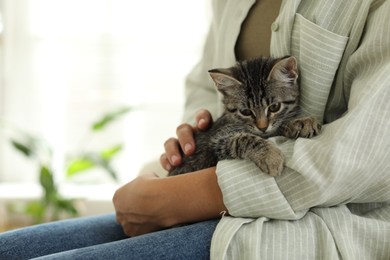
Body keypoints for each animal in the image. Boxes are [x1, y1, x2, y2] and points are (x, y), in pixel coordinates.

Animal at [169, 55, 322, 176]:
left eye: (274, 107)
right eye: (246, 112)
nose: (262, 127)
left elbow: (277, 125)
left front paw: (301, 121)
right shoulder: (215, 143)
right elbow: (243, 138)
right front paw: (270, 156)